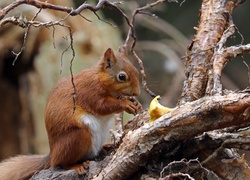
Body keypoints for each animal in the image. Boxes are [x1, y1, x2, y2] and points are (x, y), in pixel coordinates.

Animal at [0, 46, 142, 179]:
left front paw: (135, 103)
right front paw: (126, 104)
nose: (137, 92)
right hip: (77, 137)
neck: (100, 79)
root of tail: (52, 154)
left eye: (136, 71)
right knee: (61, 163)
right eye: (121, 77)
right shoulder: (90, 92)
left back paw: (104, 148)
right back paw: (76, 166)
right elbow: (102, 106)